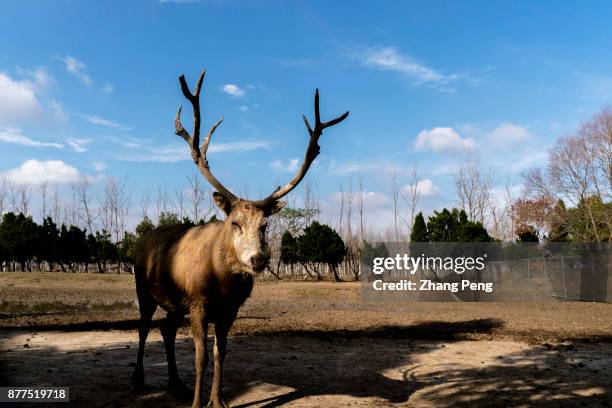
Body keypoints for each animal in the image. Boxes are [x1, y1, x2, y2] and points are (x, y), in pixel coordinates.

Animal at [130, 68, 350, 406]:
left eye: (265, 225)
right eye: (235, 222)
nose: (258, 258)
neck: (221, 281)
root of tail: (142, 242)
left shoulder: (229, 310)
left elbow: (221, 354)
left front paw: (217, 400)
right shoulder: (197, 302)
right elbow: (201, 357)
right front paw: (199, 403)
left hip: (174, 302)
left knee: (166, 330)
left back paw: (176, 385)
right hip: (144, 288)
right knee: (143, 328)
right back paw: (139, 379)